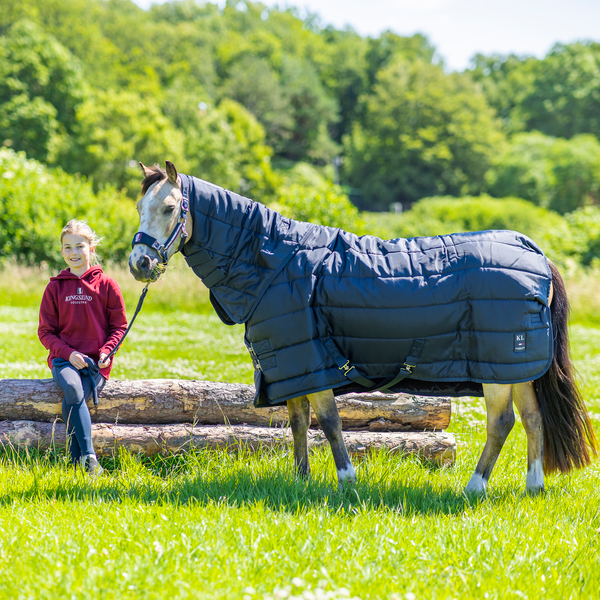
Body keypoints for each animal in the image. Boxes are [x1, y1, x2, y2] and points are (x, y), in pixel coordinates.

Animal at [126, 159, 596, 492]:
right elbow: (299, 423)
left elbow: (330, 422)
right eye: (139, 208)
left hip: (497, 368)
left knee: (502, 424)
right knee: (533, 418)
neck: (274, 261)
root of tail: (535, 253)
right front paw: (301, 481)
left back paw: (474, 487)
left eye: (169, 207)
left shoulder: (313, 363)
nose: (139, 263)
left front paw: (346, 480)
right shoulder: (292, 367)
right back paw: (533, 486)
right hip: (517, 368)